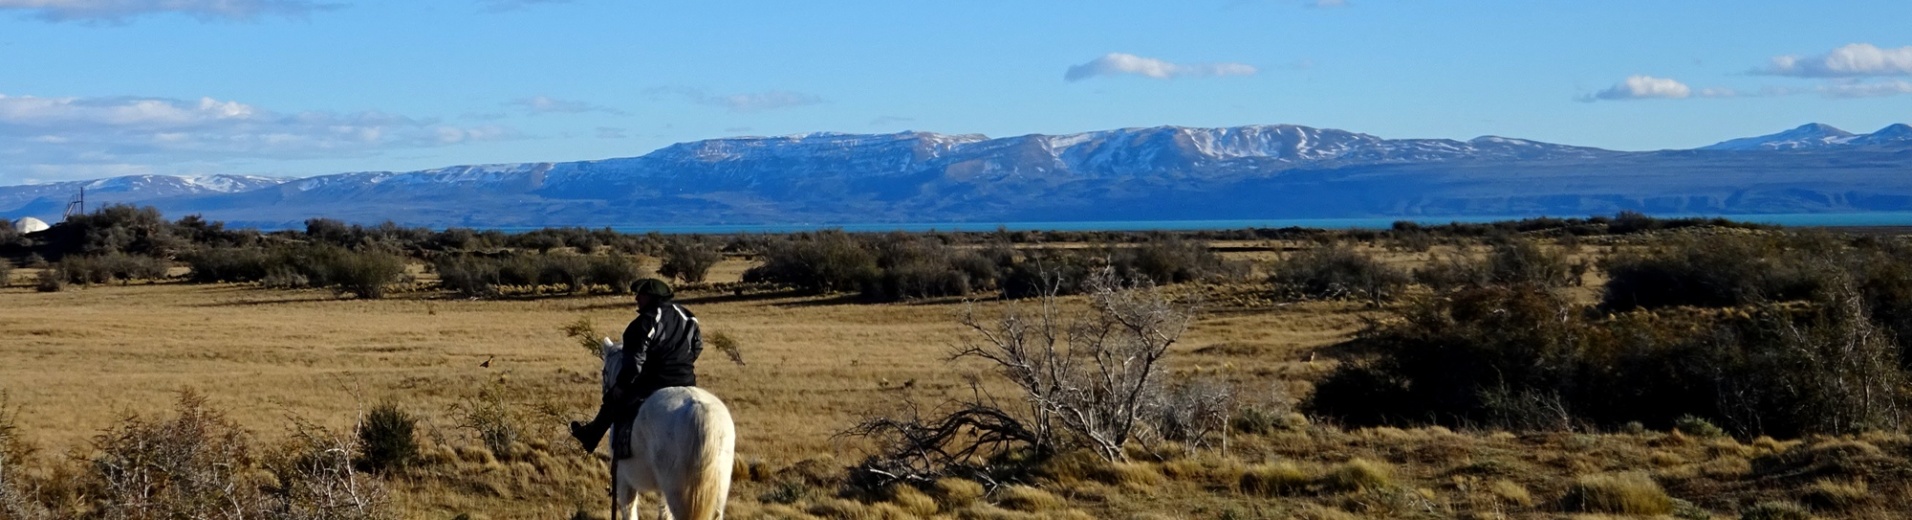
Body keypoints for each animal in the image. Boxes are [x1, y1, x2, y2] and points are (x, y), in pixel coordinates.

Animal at [596, 334, 738, 516]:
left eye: (604, 372)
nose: (606, 394)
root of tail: (699, 410)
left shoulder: (623, 478)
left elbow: (629, 510)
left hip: (678, 493)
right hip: (717, 492)